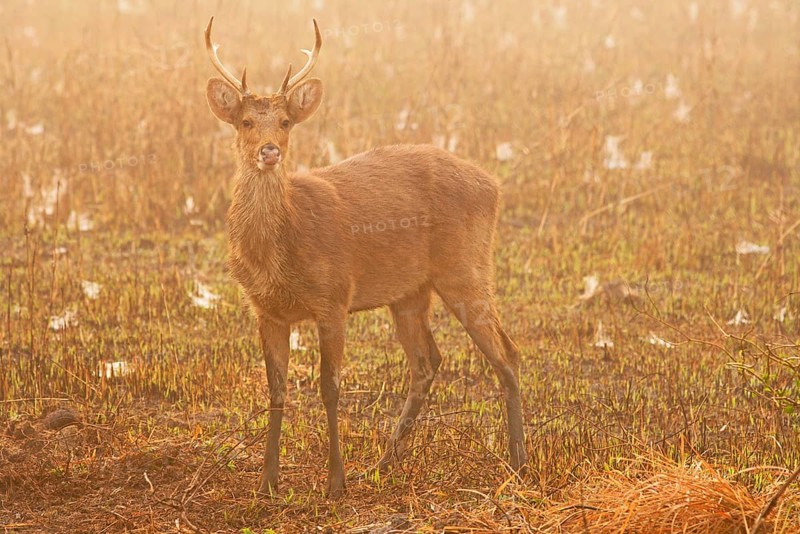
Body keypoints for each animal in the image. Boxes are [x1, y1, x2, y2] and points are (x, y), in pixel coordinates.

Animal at [203, 17, 527, 498]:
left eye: (285, 121)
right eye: (244, 121)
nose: (269, 150)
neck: (281, 251)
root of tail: (494, 185)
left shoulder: (334, 297)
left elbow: (330, 388)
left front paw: (334, 482)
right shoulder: (267, 310)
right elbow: (276, 390)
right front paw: (267, 482)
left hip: (466, 266)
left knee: (506, 352)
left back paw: (519, 462)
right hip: (410, 291)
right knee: (427, 361)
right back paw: (385, 461)